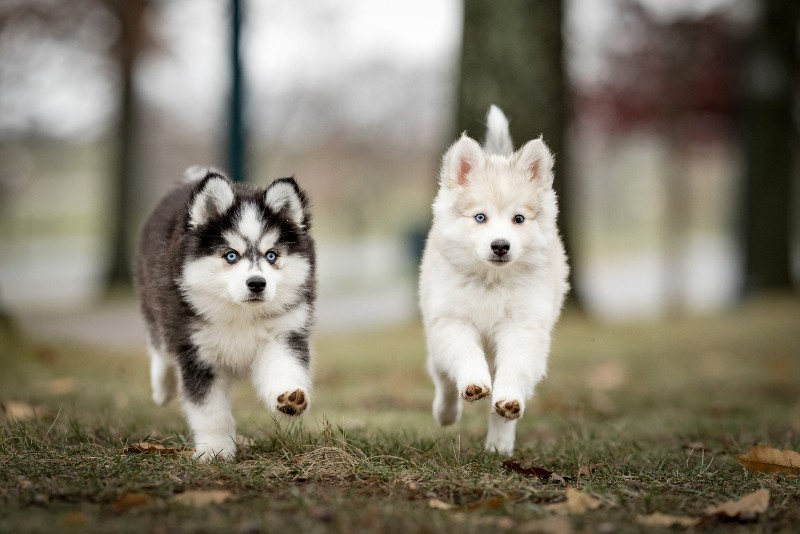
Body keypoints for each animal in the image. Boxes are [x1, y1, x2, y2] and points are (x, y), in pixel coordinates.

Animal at [136, 170, 314, 462]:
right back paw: (162, 388)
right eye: (231, 255)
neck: (240, 313)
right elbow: (210, 411)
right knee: (159, 346)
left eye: (271, 255)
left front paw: (289, 395)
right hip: (154, 302)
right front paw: (216, 450)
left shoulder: (283, 334)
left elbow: (283, 367)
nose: (257, 283)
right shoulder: (197, 351)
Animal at [418, 105, 568, 456]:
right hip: (435, 337)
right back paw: (446, 412)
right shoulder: (453, 321)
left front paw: (508, 403)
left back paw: (499, 444)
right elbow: (465, 356)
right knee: (444, 379)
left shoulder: (523, 327)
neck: (492, 282)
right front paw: (473, 384)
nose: (500, 245)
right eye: (480, 217)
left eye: (519, 218)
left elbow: (514, 371)